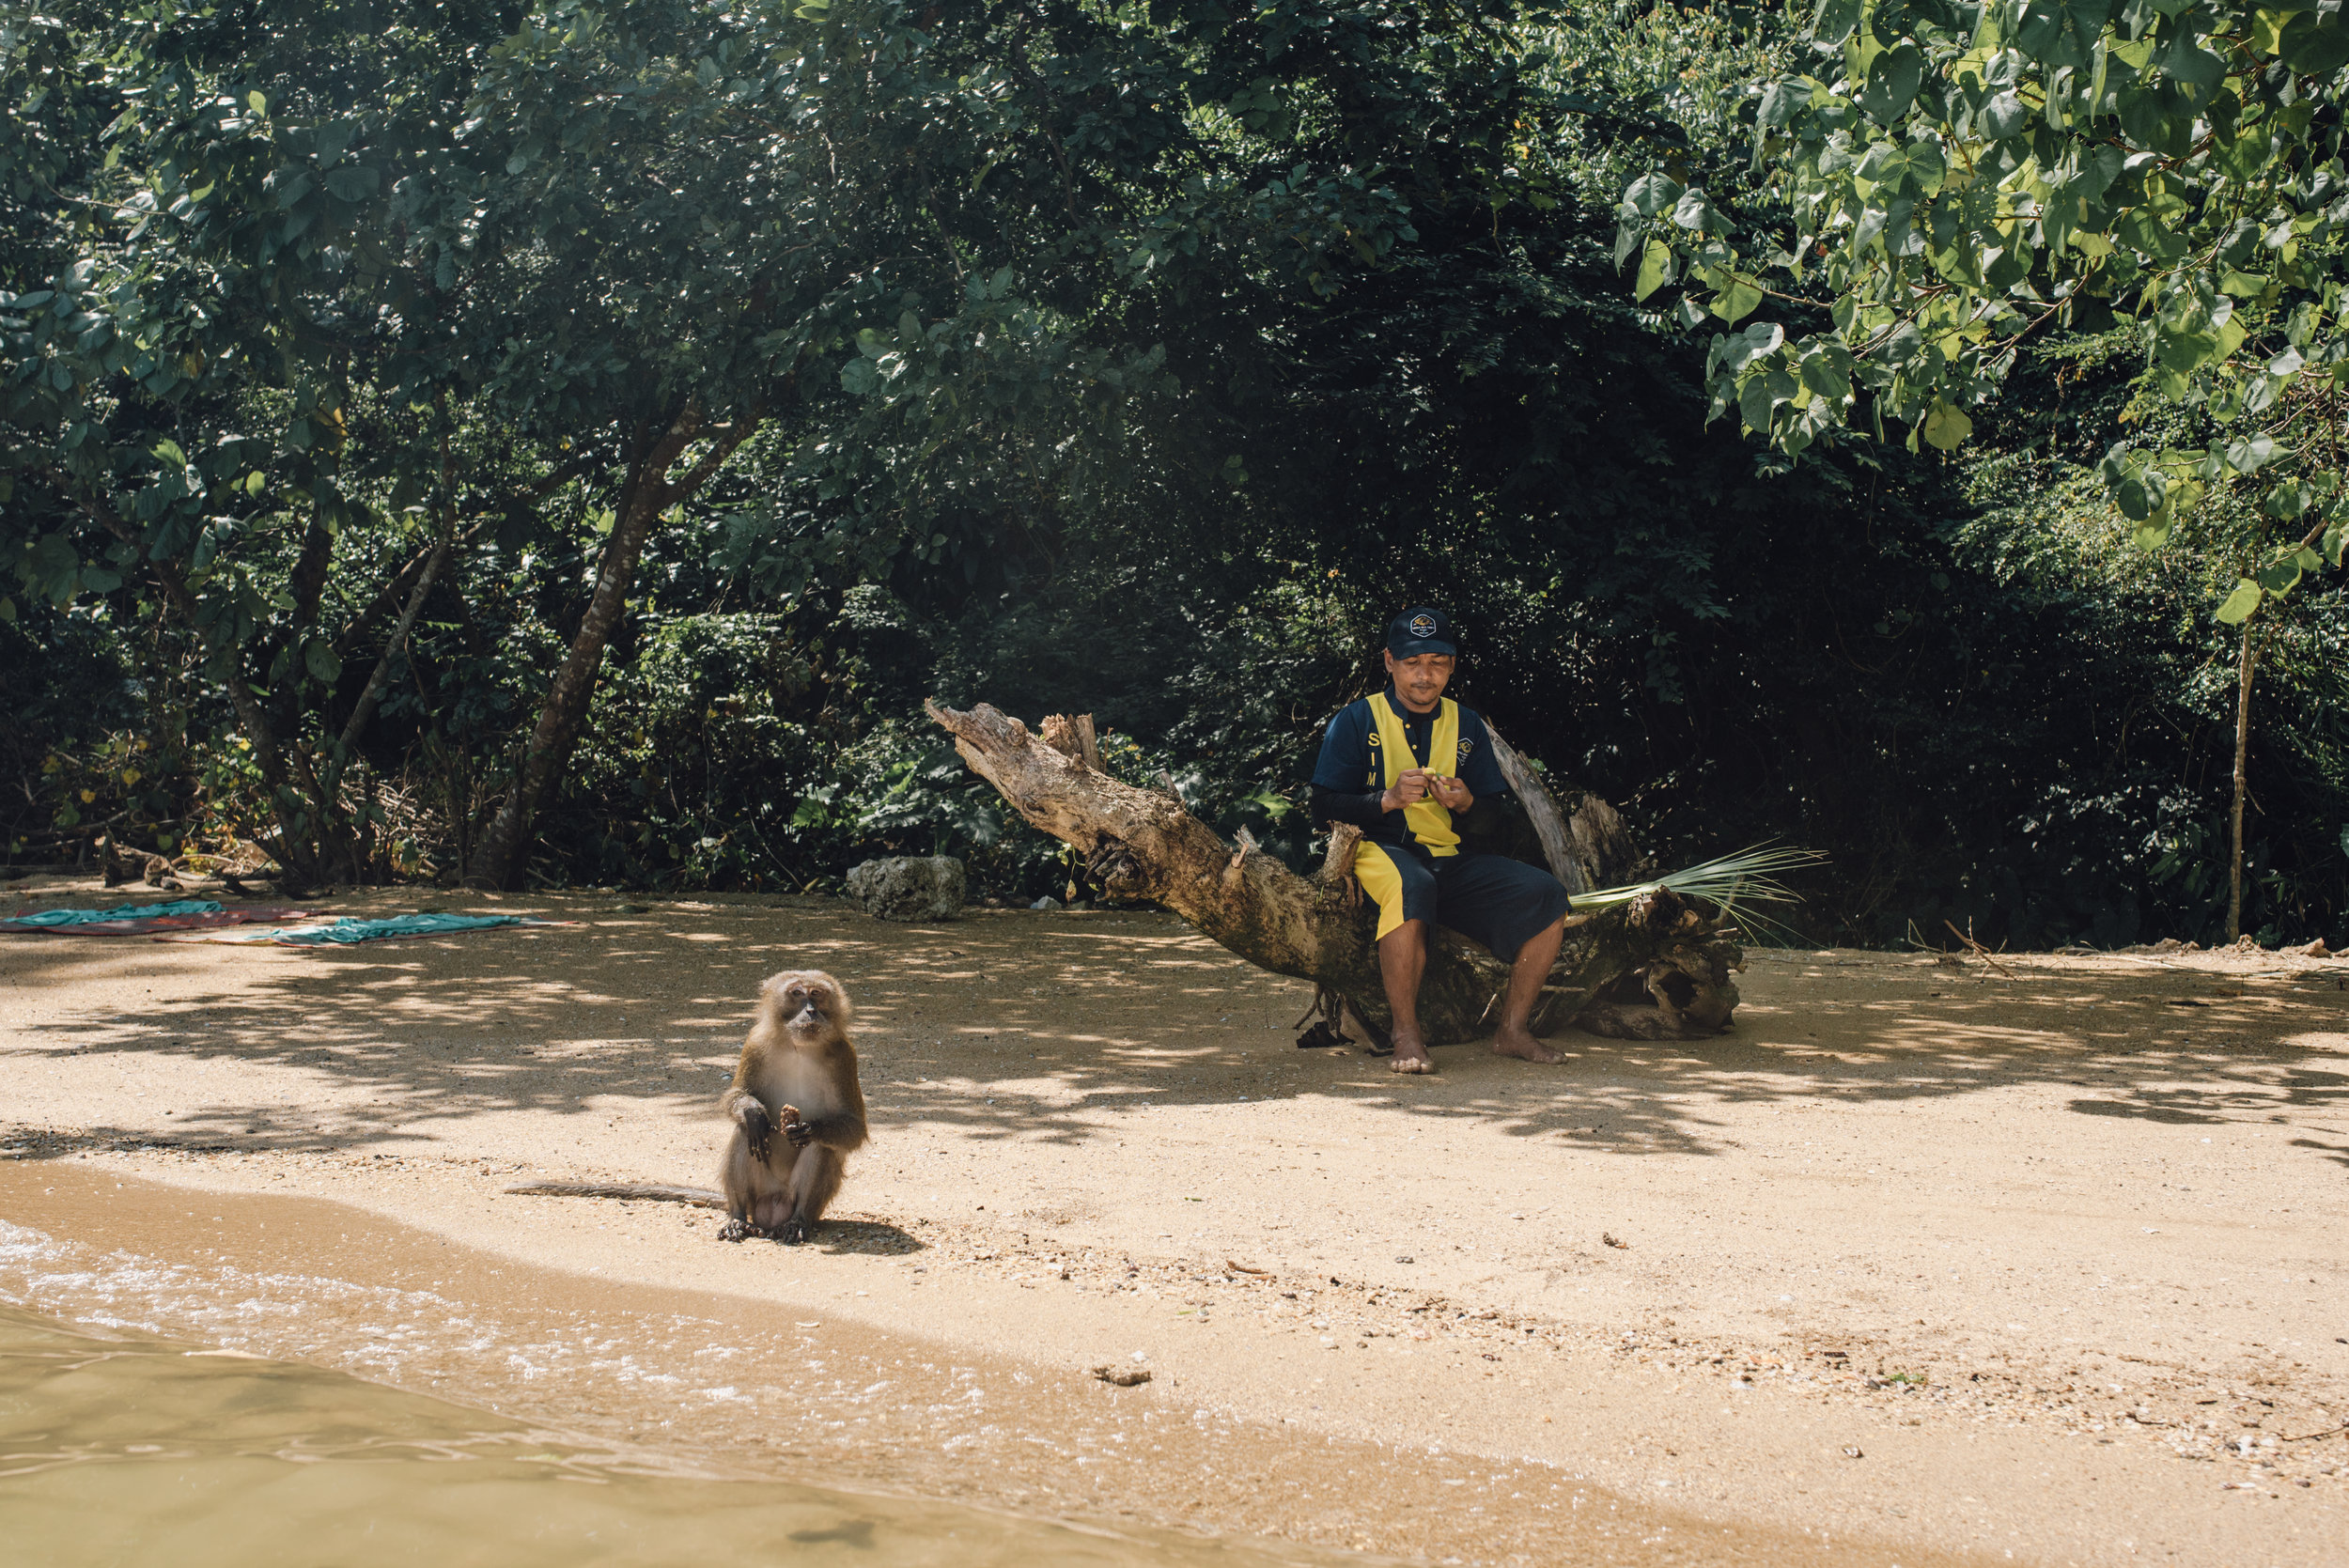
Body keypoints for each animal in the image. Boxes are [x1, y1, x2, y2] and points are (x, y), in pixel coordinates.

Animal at [500, 967, 869, 1249]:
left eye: (817, 994)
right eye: (796, 994)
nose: (810, 1012)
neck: (798, 1046)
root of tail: (770, 1213)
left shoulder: (844, 1056)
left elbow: (853, 1129)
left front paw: (805, 1127)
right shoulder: (756, 1043)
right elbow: (740, 1100)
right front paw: (752, 1111)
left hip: (795, 1201)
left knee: (821, 1147)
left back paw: (798, 1220)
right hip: (758, 1194)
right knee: (745, 1134)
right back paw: (737, 1216)